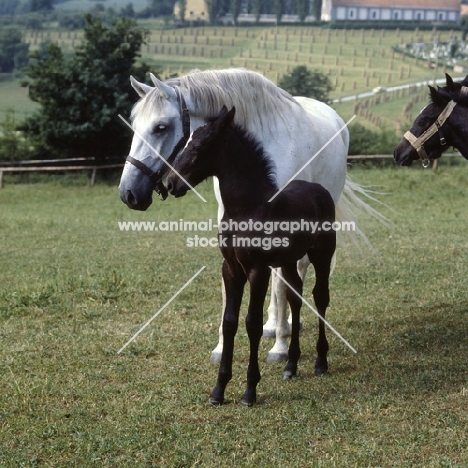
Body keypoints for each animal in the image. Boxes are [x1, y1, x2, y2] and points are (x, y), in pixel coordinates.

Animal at [118, 67, 380, 364]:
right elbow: (229, 291)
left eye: (160, 127)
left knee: (296, 273)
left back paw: (289, 325)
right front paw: (222, 348)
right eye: (134, 125)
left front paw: (280, 347)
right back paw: (272, 324)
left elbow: (280, 286)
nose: (128, 192)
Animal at [166, 107, 334, 406]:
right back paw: (291, 366)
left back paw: (320, 362)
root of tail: (319, 190)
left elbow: (252, 324)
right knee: (295, 296)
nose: (171, 183)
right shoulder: (231, 268)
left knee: (320, 297)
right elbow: (230, 322)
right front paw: (218, 390)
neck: (245, 209)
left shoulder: (258, 269)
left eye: (197, 147)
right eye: (184, 143)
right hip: (288, 260)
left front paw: (249, 390)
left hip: (322, 253)